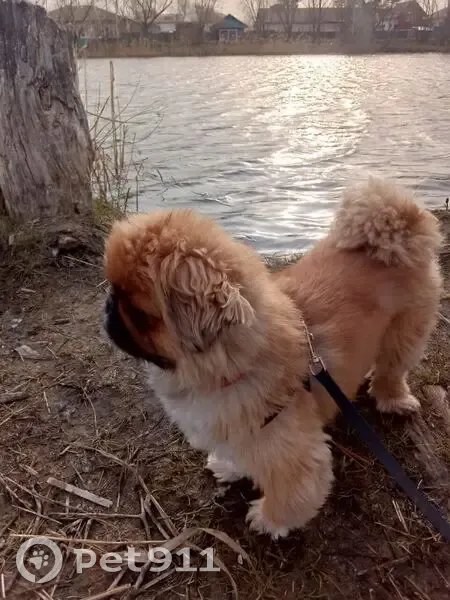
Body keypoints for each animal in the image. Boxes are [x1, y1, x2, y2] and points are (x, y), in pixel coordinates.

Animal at [103, 177, 443, 539]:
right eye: (113, 288)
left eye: (140, 314)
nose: (109, 306)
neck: (232, 365)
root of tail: (399, 226)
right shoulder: (235, 431)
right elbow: (235, 455)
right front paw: (228, 467)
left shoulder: (293, 454)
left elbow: (291, 493)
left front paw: (268, 520)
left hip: (405, 333)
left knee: (392, 371)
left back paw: (393, 399)